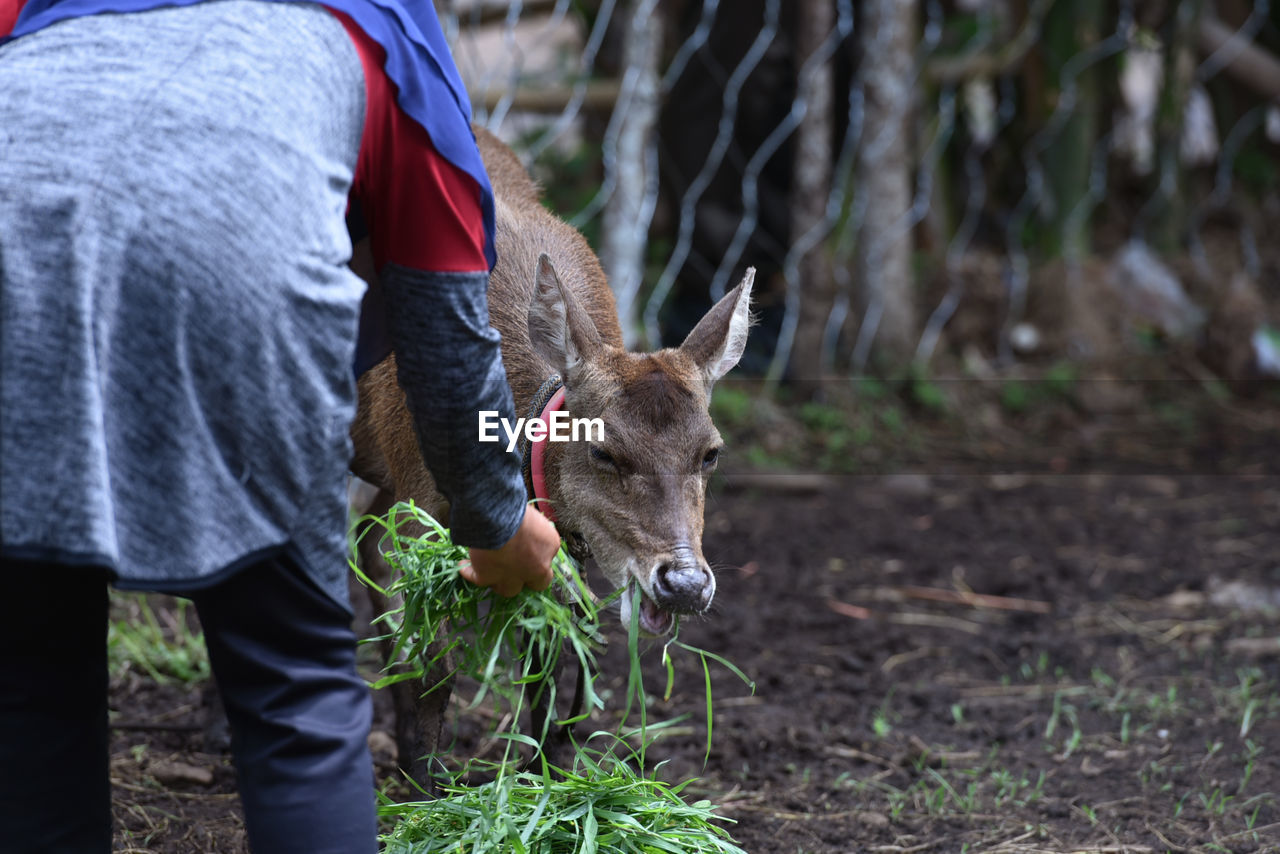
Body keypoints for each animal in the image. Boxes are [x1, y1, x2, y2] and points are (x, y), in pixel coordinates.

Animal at [345, 126, 752, 788]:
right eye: (603, 450)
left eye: (711, 453)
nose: (686, 583)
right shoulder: (420, 496)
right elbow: (438, 657)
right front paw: (428, 790)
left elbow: (555, 648)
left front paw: (547, 773)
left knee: (364, 544)